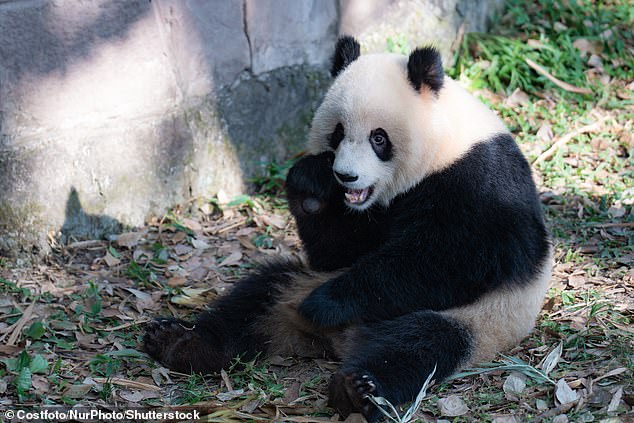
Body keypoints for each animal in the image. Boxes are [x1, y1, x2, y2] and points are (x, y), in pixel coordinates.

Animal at [143, 37, 548, 423]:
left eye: (378, 138)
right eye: (337, 133)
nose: (346, 176)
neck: (441, 146)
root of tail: (339, 342)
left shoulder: (481, 179)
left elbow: (457, 259)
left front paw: (327, 303)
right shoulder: (366, 217)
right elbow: (340, 251)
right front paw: (310, 186)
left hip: (478, 321)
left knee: (416, 346)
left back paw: (356, 388)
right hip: (296, 283)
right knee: (256, 297)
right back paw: (180, 343)